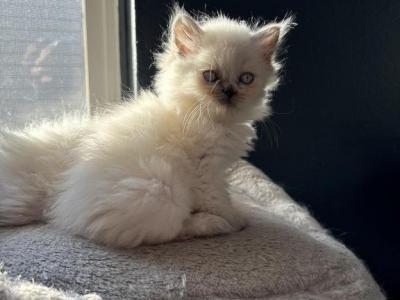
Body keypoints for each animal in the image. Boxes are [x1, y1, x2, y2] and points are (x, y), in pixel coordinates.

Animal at [0, 8, 294, 247]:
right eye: (210, 76)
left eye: (246, 79)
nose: (229, 92)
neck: (206, 119)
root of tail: (58, 198)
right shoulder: (207, 172)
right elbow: (219, 200)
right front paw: (235, 219)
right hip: (161, 190)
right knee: (161, 232)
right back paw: (211, 224)